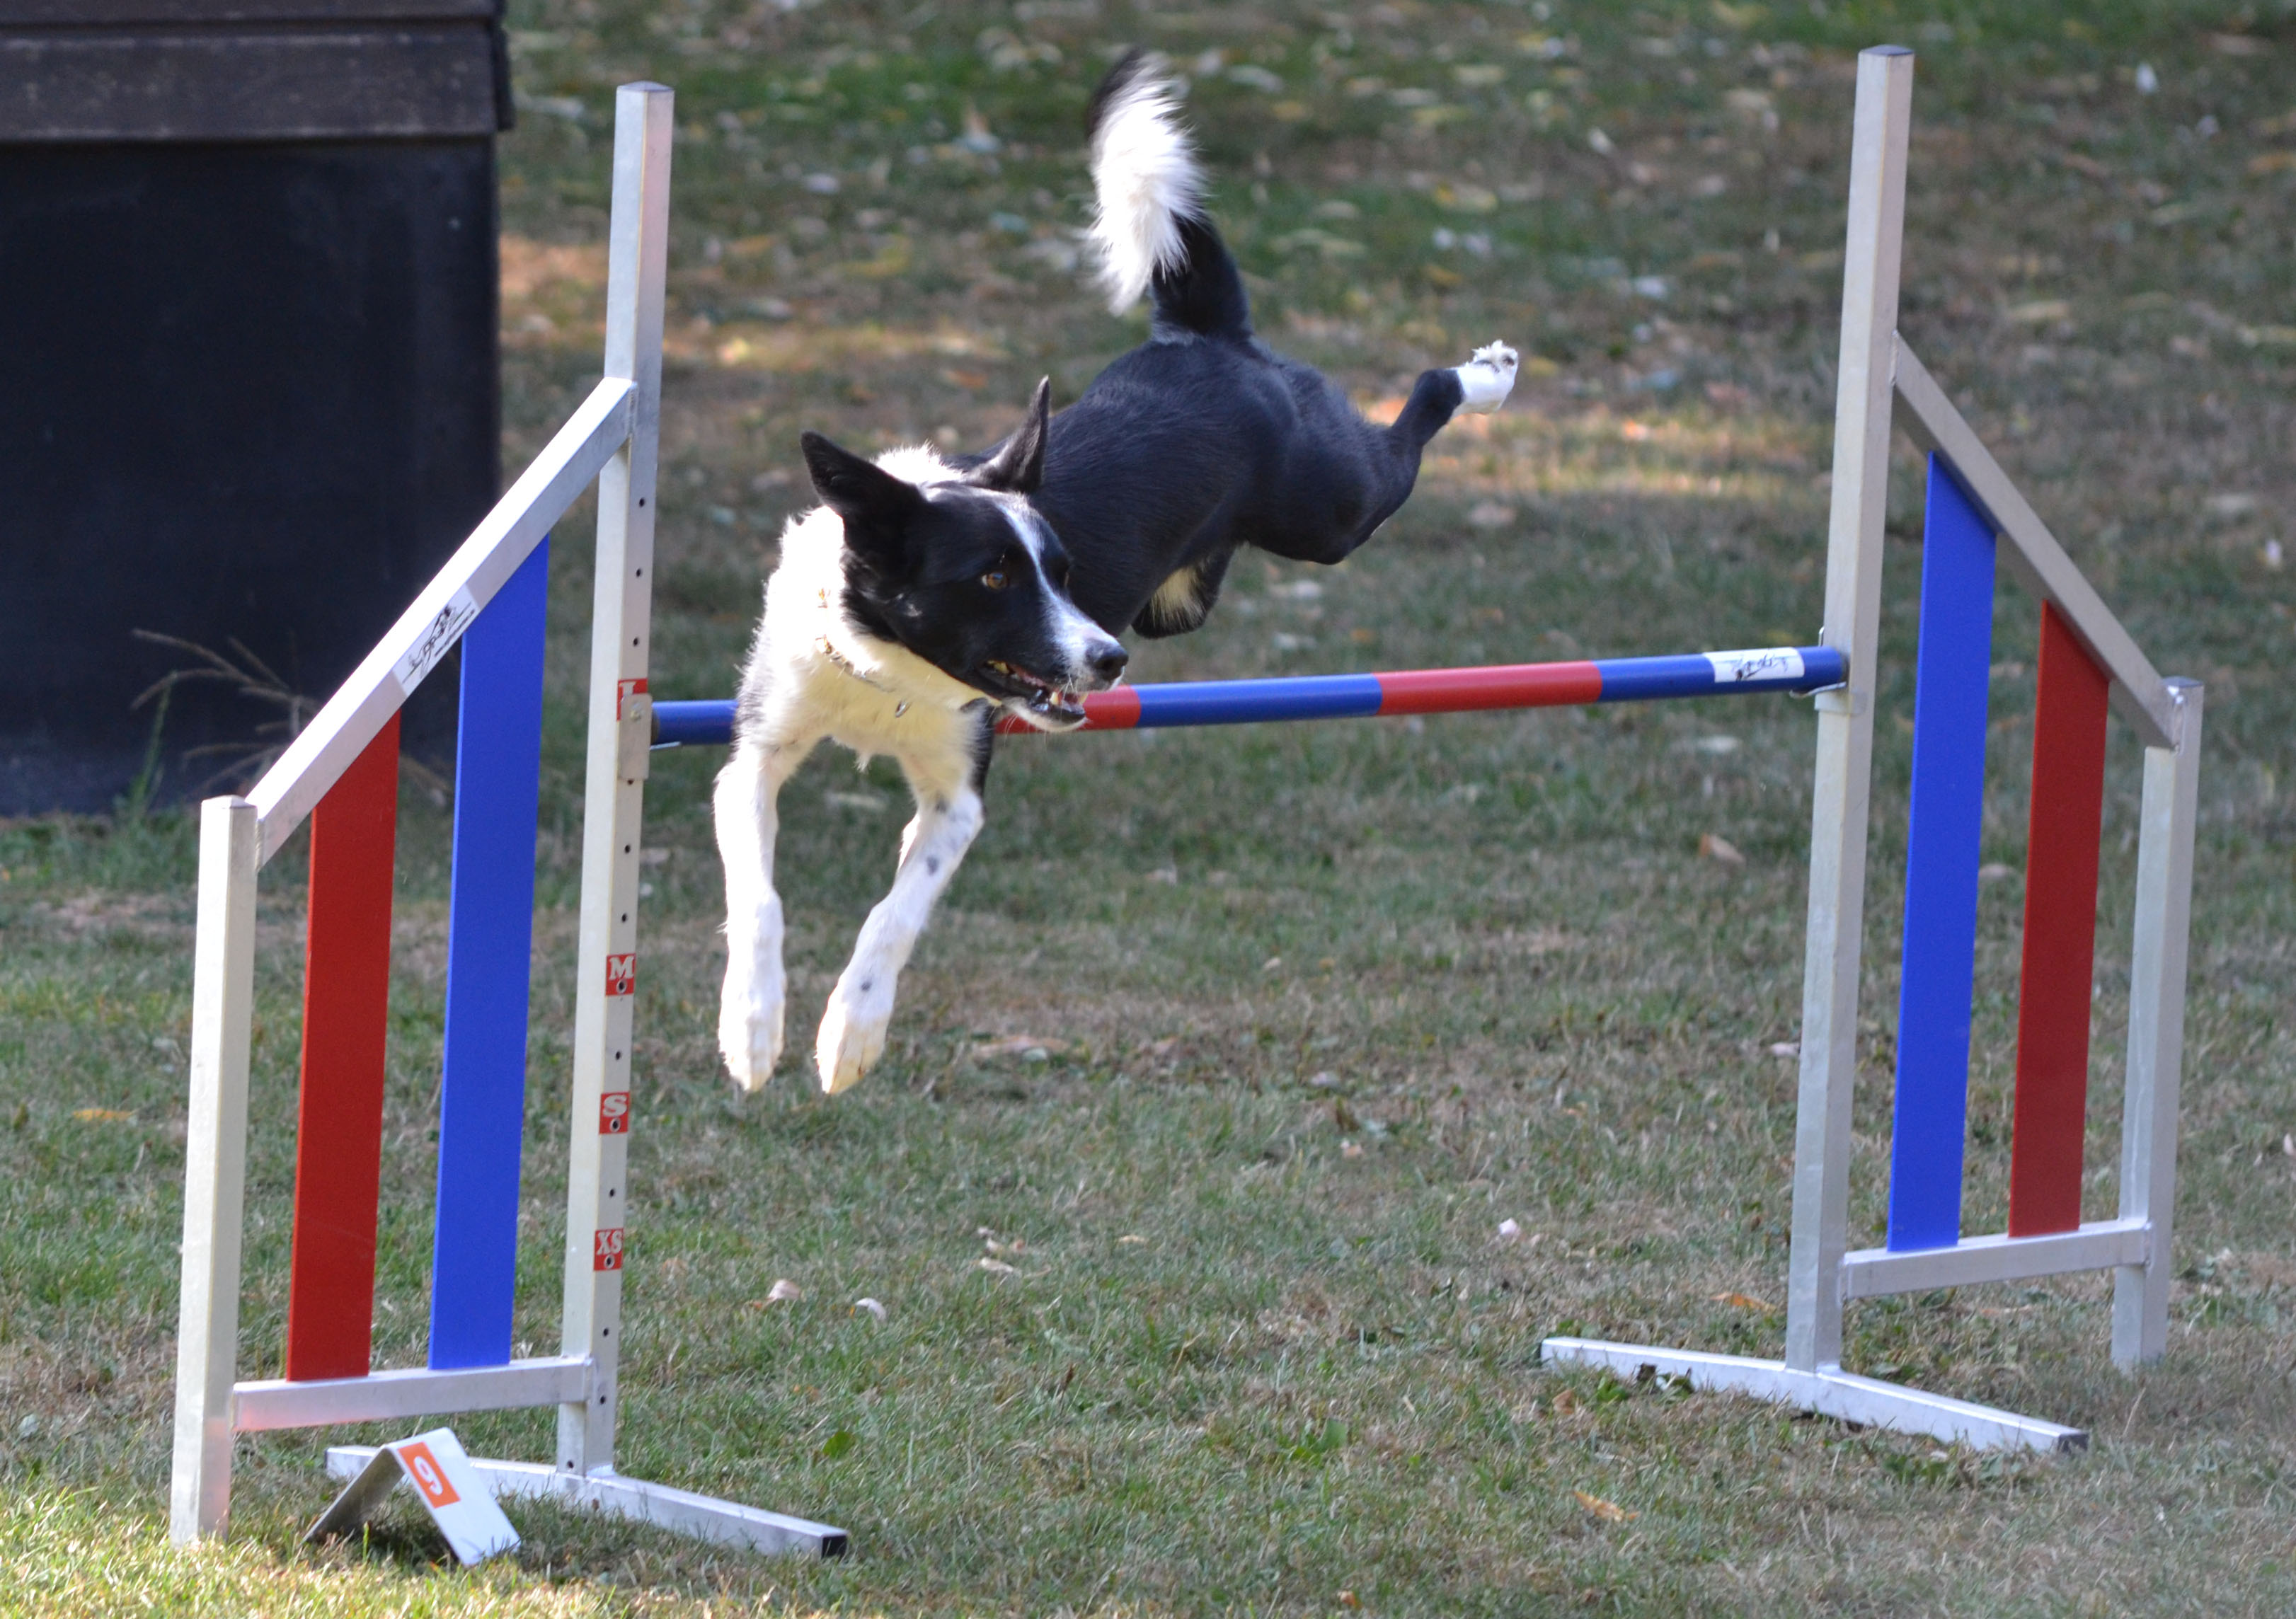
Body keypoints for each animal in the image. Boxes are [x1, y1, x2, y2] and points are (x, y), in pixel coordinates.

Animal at [707, 50, 1515, 1093]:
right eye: (994, 579)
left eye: (1062, 568)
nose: (1107, 662)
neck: (891, 672)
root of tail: (1203, 340)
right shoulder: (756, 755)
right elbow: (757, 896)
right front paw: (752, 1025)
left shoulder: (957, 797)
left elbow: (893, 916)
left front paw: (851, 1034)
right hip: (1191, 596)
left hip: (1328, 510)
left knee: (1415, 408)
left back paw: (1486, 375)